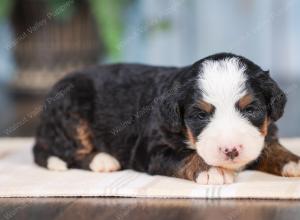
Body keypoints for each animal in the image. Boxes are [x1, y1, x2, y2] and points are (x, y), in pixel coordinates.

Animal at [32, 52, 300, 184]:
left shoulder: (264, 136)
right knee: (68, 151)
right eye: (200, 115)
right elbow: (185, 156)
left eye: (251, 110)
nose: (231, 150)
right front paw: (212, 170)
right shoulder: (151, 149)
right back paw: (102, 160)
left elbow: (273, 149)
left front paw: (294, 162)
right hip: (71, 110)